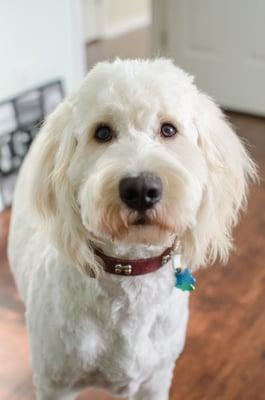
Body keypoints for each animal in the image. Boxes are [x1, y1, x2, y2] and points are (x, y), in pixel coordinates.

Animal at [8, 59, 256, 400]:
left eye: (168, 129)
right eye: (102, 132)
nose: (141, 190)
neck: (129, 272)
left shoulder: (155, 379)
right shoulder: (55, 384)